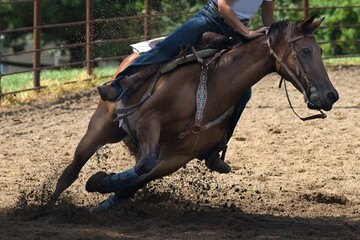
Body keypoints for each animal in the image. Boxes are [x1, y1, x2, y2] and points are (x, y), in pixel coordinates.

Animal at [49, 16, 338, 212]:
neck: (215, 85)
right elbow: (142, 166)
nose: (330, 96)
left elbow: (139, 178)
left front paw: (101, 185)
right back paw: (46, 206)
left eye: (321, 51)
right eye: (306, 50)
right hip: (101, 126)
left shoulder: (179, 156)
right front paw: (99, 182)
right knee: (72, 169)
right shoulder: (148, 121)